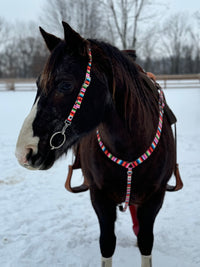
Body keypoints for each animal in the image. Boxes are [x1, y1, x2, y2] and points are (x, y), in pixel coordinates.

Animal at [16, 22, 178, 266]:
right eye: (37, 84)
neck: (129, 147)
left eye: (65, 84)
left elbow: (145, 241)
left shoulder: (155, 197)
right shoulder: (100, 198)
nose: (24, 152)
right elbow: (107, 243)